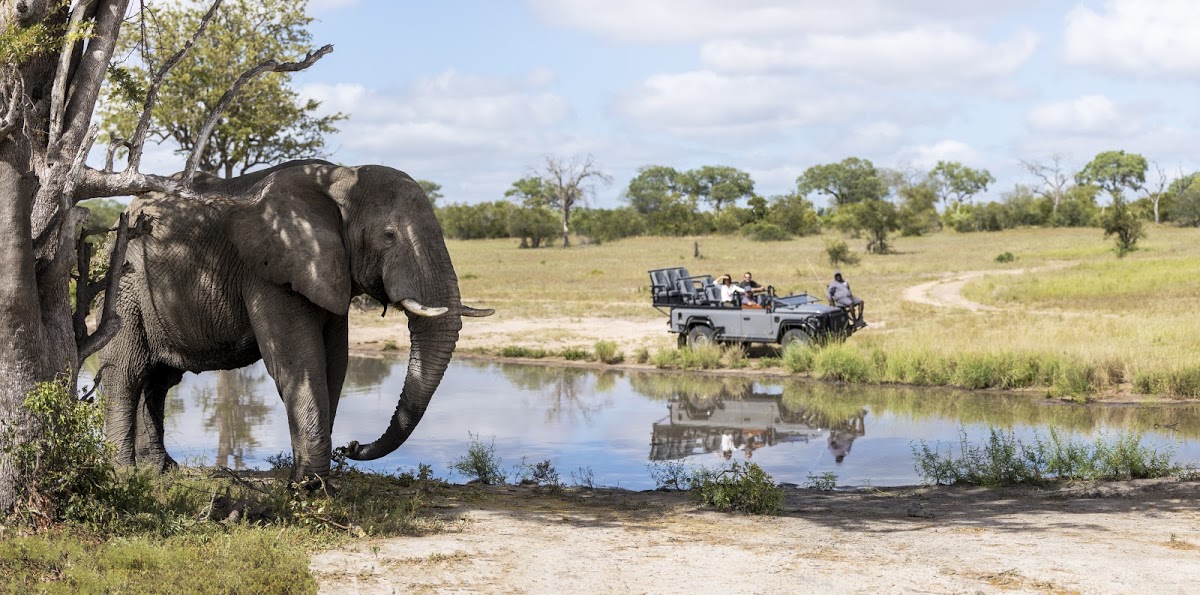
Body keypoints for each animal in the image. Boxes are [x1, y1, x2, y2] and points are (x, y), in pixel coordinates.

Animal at [97, 160, 492, 482]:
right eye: (389, 235)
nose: (351, 447)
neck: (342, 177)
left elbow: (335, 364)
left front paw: (315, 483)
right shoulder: (269, 270)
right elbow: (298, 362)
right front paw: (308, 488)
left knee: (159, 379)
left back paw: (161, 470)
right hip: (124, 285)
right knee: (127, 372)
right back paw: (124, 474)